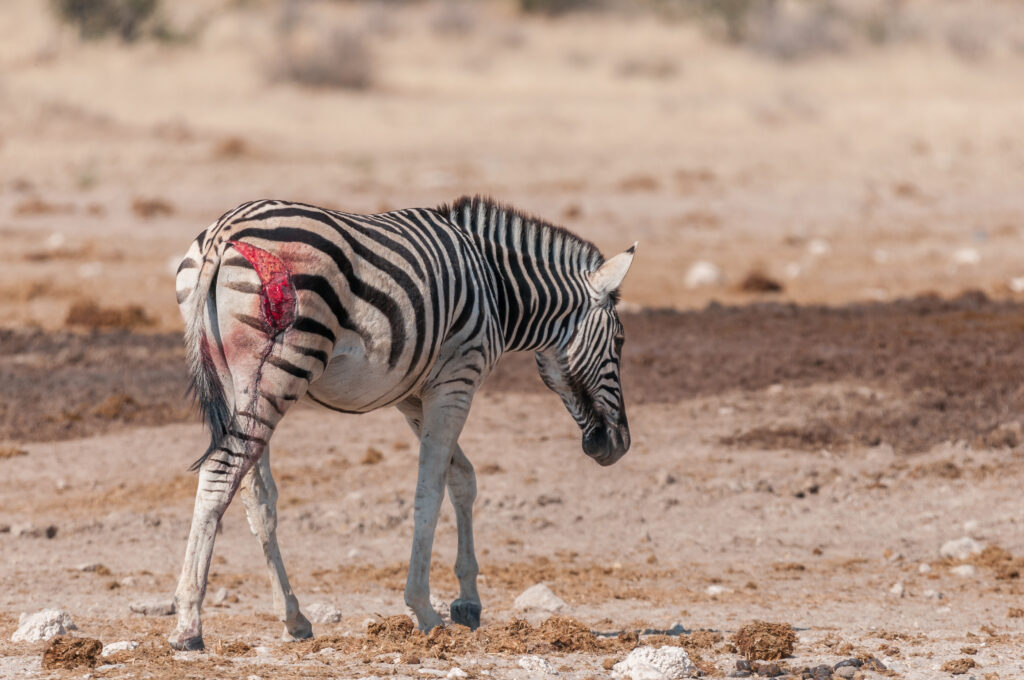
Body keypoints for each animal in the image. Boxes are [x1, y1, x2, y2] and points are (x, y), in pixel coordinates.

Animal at [168, 193, 634, 651]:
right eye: (620, 341)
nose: (620, 446)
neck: (498, 286)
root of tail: (223, 231)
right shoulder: (456, 381)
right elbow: (429, 493)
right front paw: (424, 610)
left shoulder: (415, 395)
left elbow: (462, 478)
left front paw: (468, 601)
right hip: (281, 367)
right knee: (219, 475)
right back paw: (189, 624)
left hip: (236, 382)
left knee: (256, 494)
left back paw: (293, 618)